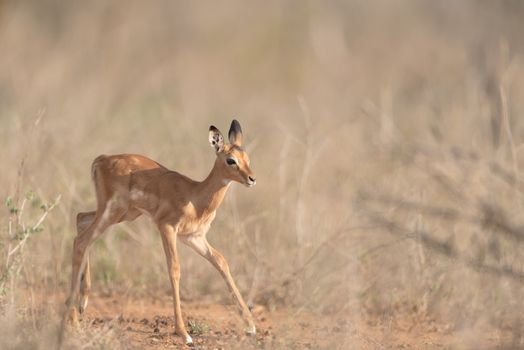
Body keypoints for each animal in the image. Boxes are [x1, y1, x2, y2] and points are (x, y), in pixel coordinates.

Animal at [68, 120, 256, 344]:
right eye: (231, 160)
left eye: (247, 158)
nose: (252, 179)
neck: (195, 196)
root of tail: (101, 160)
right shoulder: (166, 228)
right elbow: (174, 269)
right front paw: (183, 333)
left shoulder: (194, 238)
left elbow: (221, 262)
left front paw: (251, 325)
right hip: (112, 213)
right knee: (81, 240)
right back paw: (74, 319)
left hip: (123, 214)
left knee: (81, 219)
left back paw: (82, 304)